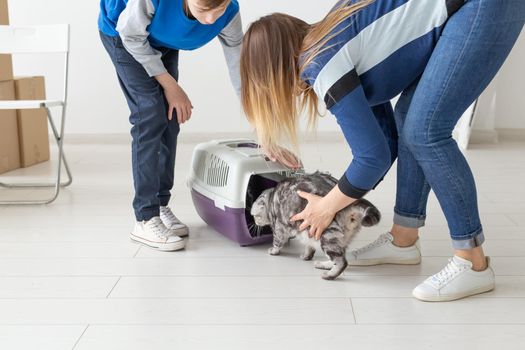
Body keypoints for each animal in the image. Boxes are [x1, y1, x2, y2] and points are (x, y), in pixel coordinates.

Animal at [251, 171, 380, 280]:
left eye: (255, 216)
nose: (255, 222)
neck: (271, 199)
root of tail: (354, 202)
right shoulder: (309, 232)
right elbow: (309, 246)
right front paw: (306, 256)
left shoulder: (280, 227)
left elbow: (277, 242)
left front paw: (273, 251)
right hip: (341, 238)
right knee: (338, 257)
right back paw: (323, 265)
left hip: (327, 236)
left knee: (342, 262)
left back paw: (329, 275)